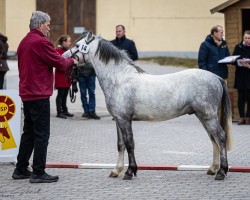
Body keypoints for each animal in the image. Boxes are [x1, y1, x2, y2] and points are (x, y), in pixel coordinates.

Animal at [62, 30, 232, 180]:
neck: (119, 78)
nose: (63, 57)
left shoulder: (125, 120)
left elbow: (130, 144)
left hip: (208, 116)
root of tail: (216, 77)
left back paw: (222, 172)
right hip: (203, 117)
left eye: (77, 45)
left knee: (221, 137)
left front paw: (130, 172)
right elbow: (120, 145)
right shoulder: (118, 120)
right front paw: (116, 170)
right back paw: (213, 168)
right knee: (214, 139)